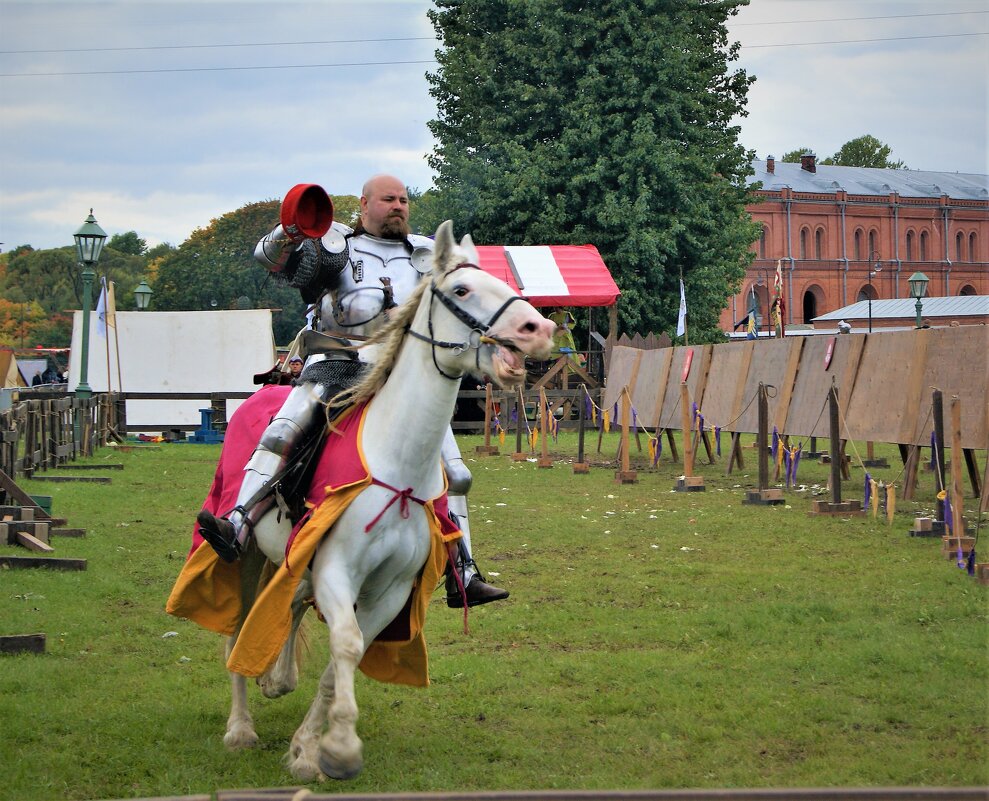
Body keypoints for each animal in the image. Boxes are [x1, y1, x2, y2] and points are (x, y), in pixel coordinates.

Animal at [222, 220, 556, 780]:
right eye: (462, 290)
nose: (540, 329)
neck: (396, 463)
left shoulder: (391, 590)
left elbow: (345, 657)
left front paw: (309, 749)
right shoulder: (337, 571)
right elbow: (346, 643)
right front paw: (337, 747)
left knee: (291, 600)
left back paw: (278, 680)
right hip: (244, 555)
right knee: (238, 624)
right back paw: (240, 727)